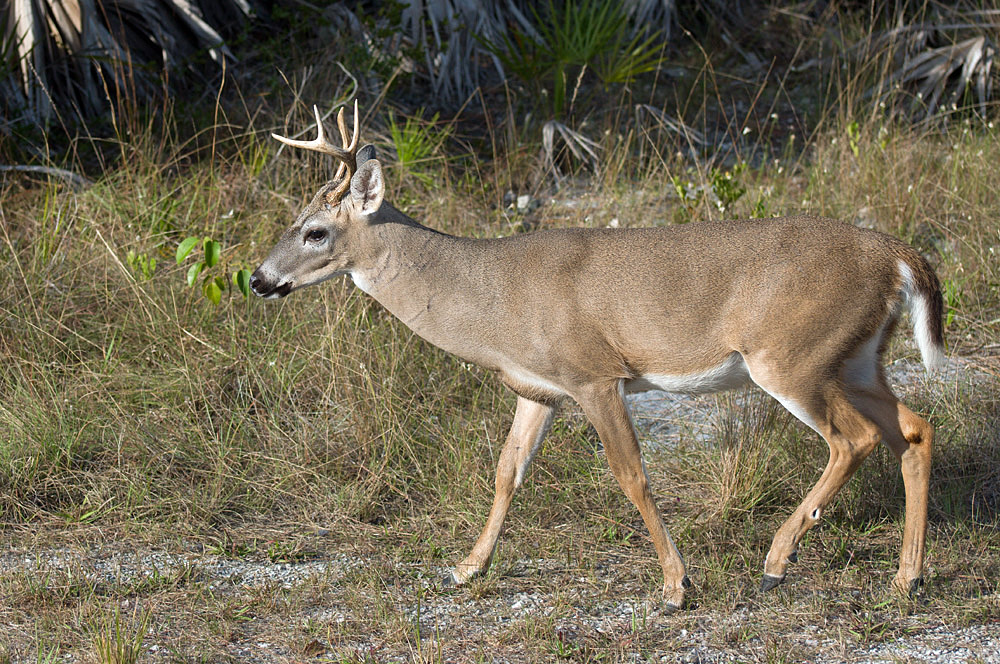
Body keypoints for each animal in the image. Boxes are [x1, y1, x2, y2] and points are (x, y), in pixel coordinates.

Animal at [252, 100, 944, 612]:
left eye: (315, 231)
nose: (259, 280)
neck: (491, 302)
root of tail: (898, 256)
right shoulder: (538, 387)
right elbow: (507, 471)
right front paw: (467, 567)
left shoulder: (594, 374)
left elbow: (630, 474)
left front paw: (675, 586)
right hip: (855, 358)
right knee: (913, 428)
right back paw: (905, 578)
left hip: (791, 356)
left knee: (854, 439)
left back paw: (777, 560)